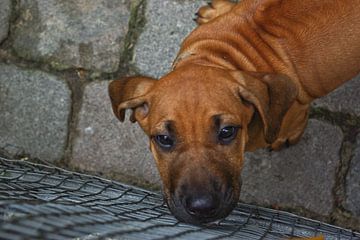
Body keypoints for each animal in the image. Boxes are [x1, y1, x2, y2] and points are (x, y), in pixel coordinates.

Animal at [109, 0, 360, 225]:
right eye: (163, 139)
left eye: (227, 132)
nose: (202, 208)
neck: (222, 56)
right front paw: (216, 11)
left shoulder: (297, 107)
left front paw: (285, 137)